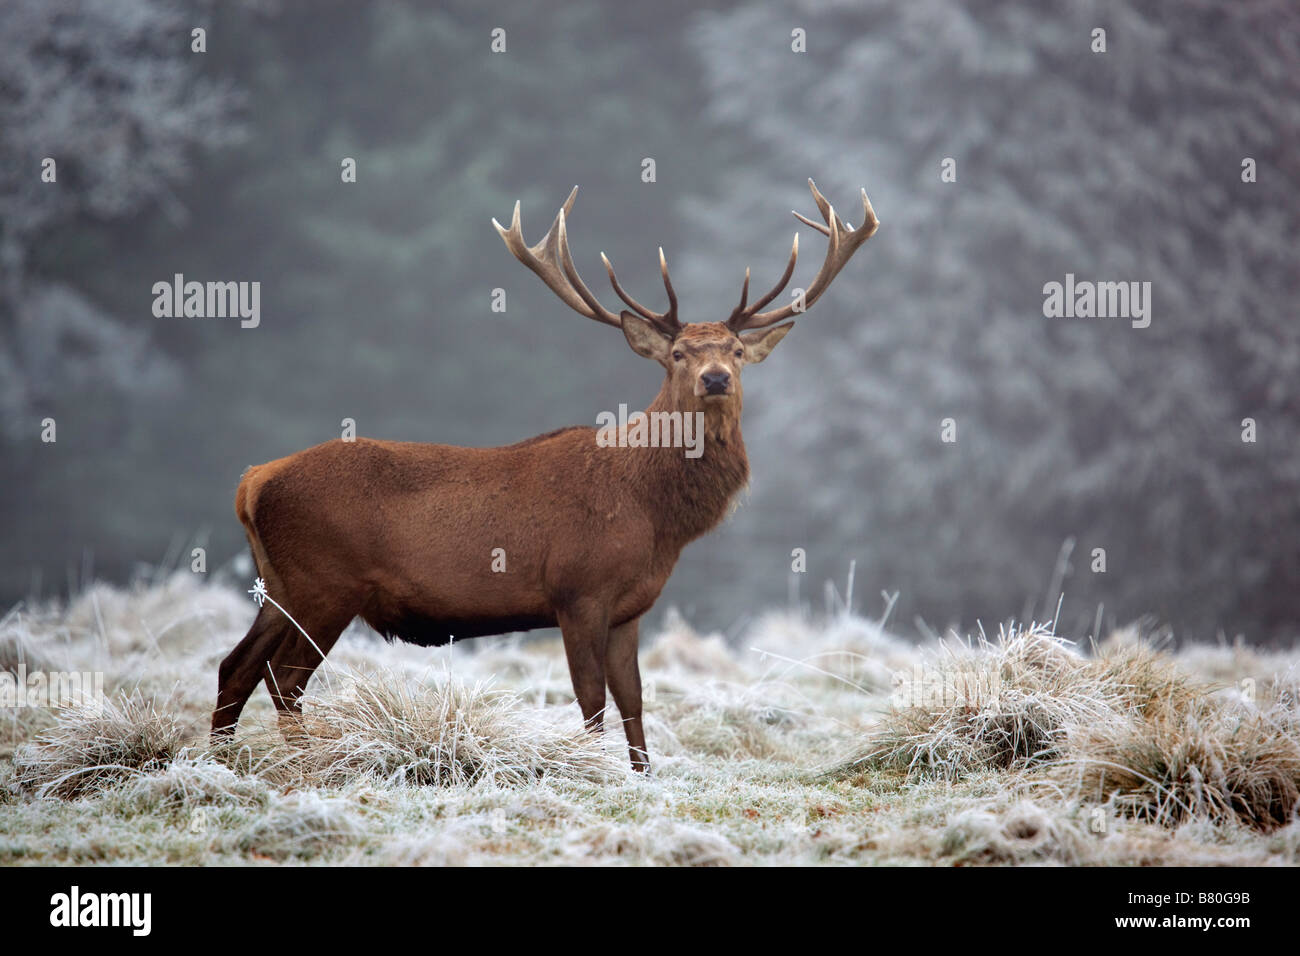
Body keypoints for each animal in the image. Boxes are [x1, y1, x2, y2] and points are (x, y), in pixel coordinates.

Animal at [213, 180, 878, 770]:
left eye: (737, 352)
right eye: (678, 354)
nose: (715, 378)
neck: (654, 513)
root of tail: (252, 481)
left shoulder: (631, 606)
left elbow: (634, 700)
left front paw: (644, 777)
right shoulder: (576, 589)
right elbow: (591, 701)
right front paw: (590, 771)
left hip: (281, 585)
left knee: (235, 667)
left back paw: (220, 765)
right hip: (326, 582)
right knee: (284, 679)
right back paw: (300, 763)